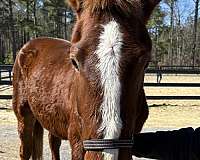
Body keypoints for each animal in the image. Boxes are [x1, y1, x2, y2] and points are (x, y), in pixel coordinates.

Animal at [12, 0, 161, 159]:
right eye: (74, 61)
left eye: (145, 62)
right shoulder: (76, 140)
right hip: (24, 117)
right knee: (25, 149)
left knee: (53, 143)